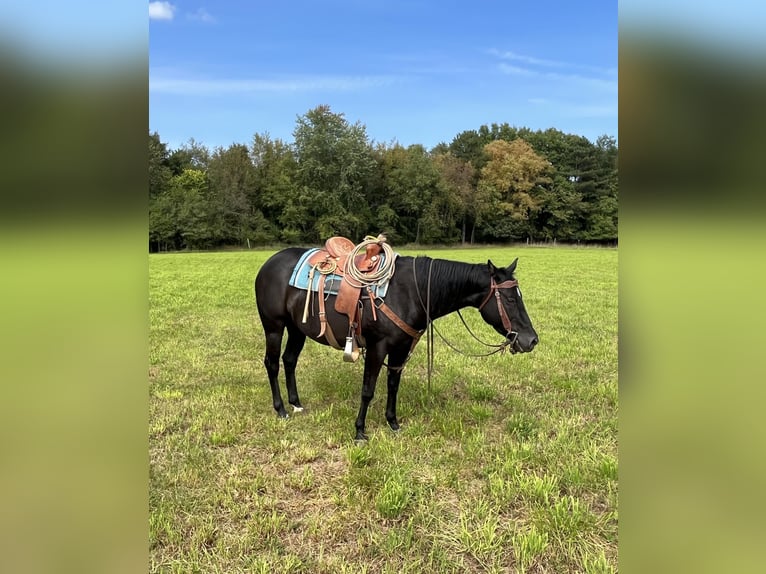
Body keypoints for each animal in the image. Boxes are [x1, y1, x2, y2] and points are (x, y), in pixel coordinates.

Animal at [254, 248, 540, 440]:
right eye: (510, 299)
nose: (531, 340)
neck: (410, 291)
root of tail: (268, 263)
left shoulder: (401, 349)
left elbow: (393, 386)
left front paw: (392, 422)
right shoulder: (377, 348)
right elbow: (368, 390)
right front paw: (360, 430)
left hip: (297, 329)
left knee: (289, 360)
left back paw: (296, 403)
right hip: (274, 327)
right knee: (272, 364)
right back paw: (281, 409)